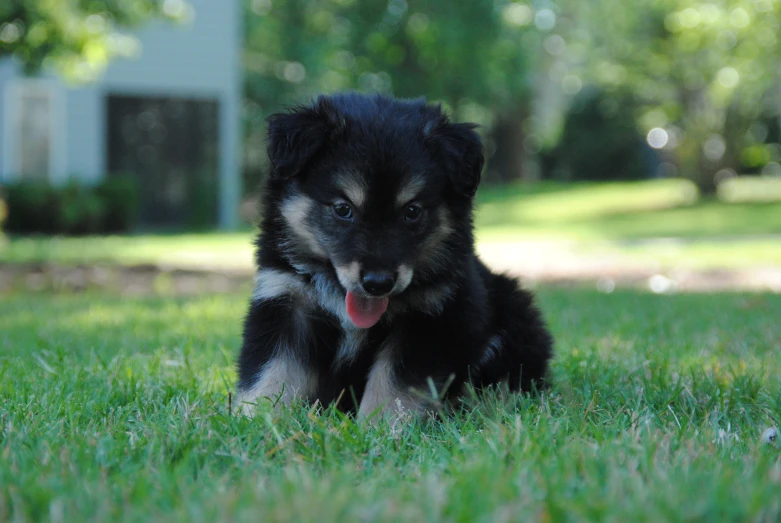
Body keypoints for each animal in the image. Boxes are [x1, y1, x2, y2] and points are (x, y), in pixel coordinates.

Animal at [235, 92, 552, 420]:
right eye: (343, 209)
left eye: (412, 211)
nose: (378, 283)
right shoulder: (284, 300)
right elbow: (273, 373)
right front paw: (253, 420)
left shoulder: (429, 318)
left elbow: (393, 386)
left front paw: (380, 427)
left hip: (515, 314)